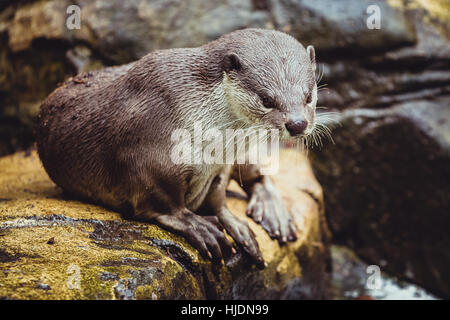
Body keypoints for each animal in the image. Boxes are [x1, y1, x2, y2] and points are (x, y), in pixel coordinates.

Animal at [36, 28, 316, 268]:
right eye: (266, 100)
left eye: (309, 96)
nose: (297, 124)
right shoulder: (146, 157)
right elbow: (164, 203)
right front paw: (198, 226)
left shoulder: (221, 166)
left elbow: (218, 199)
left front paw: (235, 225)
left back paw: (273, 211)